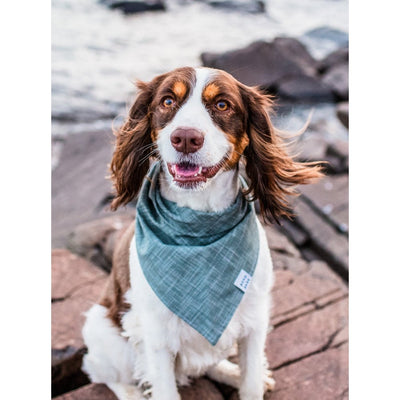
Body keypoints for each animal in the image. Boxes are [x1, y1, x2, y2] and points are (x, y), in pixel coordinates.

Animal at [81, 67, 322, 398]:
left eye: (222, 105)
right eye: (168, 101)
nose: (185, 138)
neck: (199, 221)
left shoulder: (255, 320)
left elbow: (250, 383)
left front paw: (250, 379)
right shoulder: (156, 338)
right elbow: (163, 388)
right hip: (102, 330)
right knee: (102, 372)